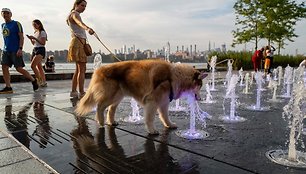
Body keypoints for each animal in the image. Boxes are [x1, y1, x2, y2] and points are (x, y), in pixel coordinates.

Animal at [75, 59, 207, 134]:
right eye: (200, 86)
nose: (200, 99)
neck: (173, 77)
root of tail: (99, 69)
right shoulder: (152, 102)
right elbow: (150, 118)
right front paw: (152, 130)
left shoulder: (163, 103)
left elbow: (165, 116)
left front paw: (169, 125)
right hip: (110, 95)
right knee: (100, 106)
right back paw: (101, 121)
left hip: (118, 96)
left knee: (111, 109)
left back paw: (111, 122)